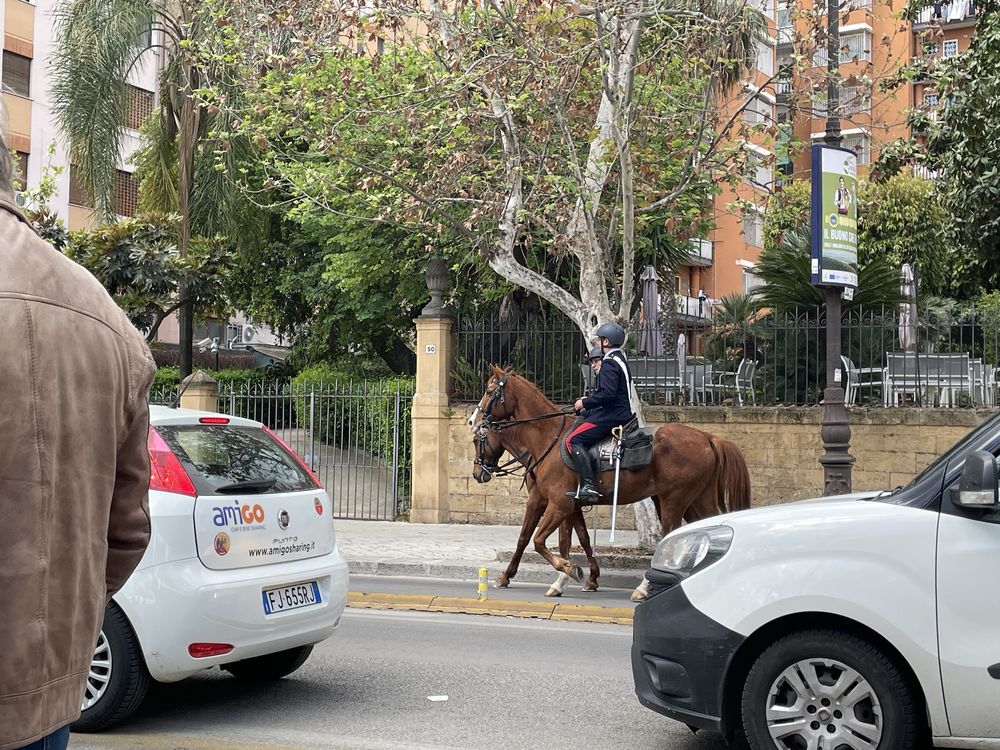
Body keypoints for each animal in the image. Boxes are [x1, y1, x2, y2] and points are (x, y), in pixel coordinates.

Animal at [468, 368, 752, 604]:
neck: (548, 439)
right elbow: (574, 540)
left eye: (491, 391)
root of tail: (708, 437)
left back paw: (645, 587)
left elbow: (534, 540)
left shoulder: (555, 503)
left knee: (670, 538)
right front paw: (580, 578)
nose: (473, 420)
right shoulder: (571, 505)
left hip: (674, 501)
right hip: (697, 501)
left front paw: (566, 571)